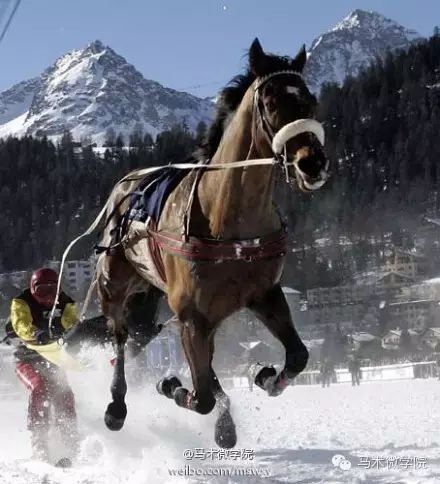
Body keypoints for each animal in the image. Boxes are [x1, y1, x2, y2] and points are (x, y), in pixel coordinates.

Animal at [96, 38, 330, 450]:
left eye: (310, 99)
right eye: (270, 101)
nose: (312, 163)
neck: (229, 222)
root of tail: (126, 187)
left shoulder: (264, 294)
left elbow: (299, 356)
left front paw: (265, 376)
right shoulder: (192, 315)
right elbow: (200, 396)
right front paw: (170, 385)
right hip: (115, 284)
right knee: (120, 337)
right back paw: (117, 406)